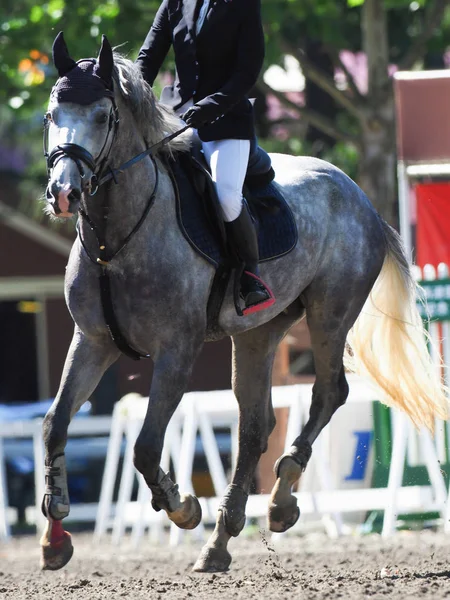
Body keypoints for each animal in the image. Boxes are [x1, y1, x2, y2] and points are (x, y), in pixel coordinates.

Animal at [41, 36, 446, 572]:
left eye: (104, 115)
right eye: (51, 114)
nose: (63, 193)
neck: (117, 238)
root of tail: (356, 193)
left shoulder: (177, 349)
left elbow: (146, 447)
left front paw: (184, 507)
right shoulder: (92, 341)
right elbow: (55, 425)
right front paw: (55, 537)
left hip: (330, 314)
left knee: (327, 394)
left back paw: (280, 501)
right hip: (259, 332)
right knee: (255, 425)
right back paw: (221, 540)